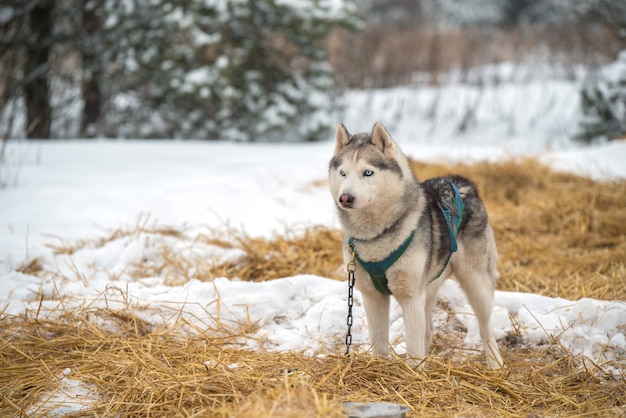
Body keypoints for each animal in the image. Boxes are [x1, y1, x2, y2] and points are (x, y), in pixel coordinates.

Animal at [326, 121, 502, 370]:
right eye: (342, 173)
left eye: (367, 172)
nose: (345, 198)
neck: (377, 235)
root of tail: (460, 182)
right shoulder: (372, 295)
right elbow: (379, 341)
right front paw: (378, 368)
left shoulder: (410, 296)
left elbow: (414, 349)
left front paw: (414, 374)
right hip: (428, 286)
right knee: (428, 329)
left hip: (477, 283)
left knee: (486, 325)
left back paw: (496, 363)